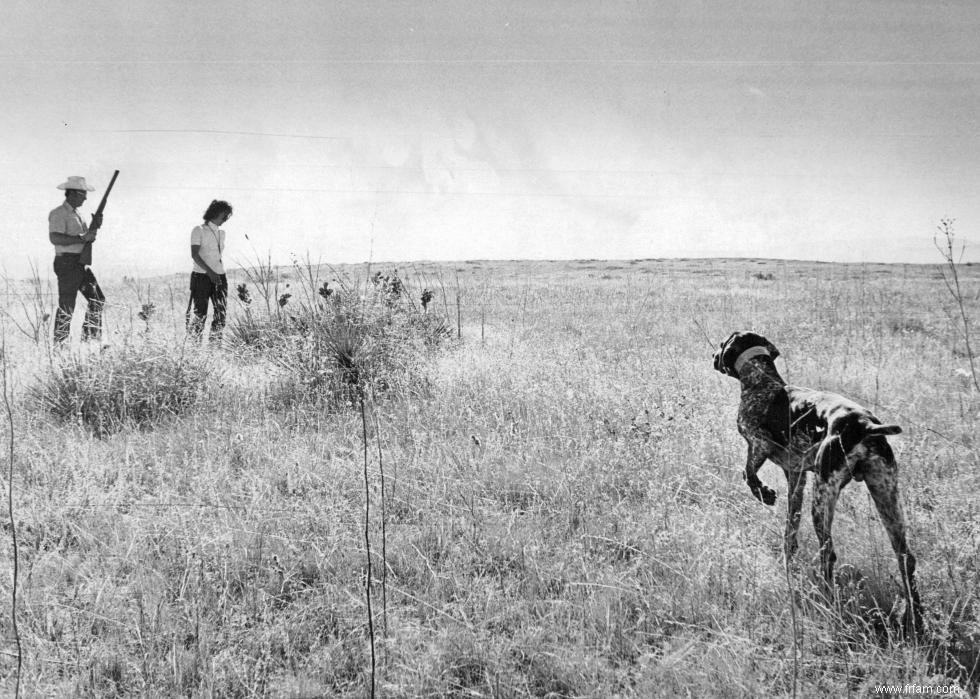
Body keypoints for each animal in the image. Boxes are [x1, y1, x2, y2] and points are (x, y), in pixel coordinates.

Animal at [712, 330, 920, 632]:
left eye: (721, 345)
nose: (713, 356)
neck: (762, 380)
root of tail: (864, 425)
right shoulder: (796, 477)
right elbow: (790, 528)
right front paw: (788, 557)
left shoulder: (758, 443)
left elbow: (748, 473)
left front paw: (764, 494)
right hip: (886, 495)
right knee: (906, 558)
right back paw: (914, 618)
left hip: (823, 497)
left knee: (829, 553)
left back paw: (826, 599)